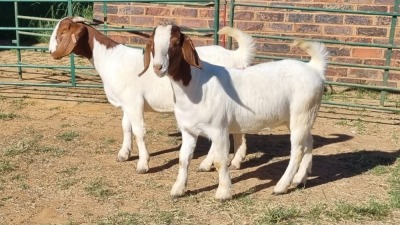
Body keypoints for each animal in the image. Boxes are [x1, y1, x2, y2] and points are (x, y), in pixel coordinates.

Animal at [48, 16, 255, 173]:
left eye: (62, 33)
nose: (50, 51)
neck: (110, 59)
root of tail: (234, 57)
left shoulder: (134, 102)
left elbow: (139, 131)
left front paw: (143, 164)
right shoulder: (126, 104)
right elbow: (126, 127)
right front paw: (124, 154)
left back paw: (207, 164)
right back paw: (236, 161)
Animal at [142, 25, 330, 200]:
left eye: (174, 43)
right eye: (152, 44)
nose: (158, 67)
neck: (196, 83)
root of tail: (314, 68)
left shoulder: (219, 129)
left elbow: (220, 161)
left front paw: (223, 192)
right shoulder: (188, 131)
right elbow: (183, 159)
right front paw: (178, 189)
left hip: (302, 113)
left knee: (297, 150)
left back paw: (281, 186)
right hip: (299, 118)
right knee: (308, 142)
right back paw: (300, 179)